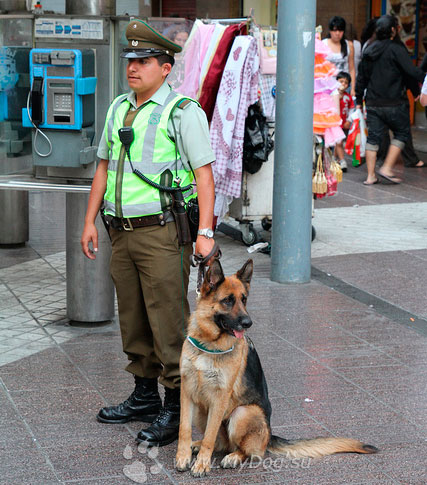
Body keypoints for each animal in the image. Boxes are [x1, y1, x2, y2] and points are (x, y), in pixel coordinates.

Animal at [176, 260, 380, 474]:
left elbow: (209, 435)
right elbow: (184, 429)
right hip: (201, 409)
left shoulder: (220, 396)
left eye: (244, 300)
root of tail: (270, 435)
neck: (208, 345)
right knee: (220, 442)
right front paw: (183, 457)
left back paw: (234, 456)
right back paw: (199, 446)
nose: (248, 323)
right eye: (228, 301)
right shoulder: (187, 391)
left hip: (243, 413)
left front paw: (202, 464)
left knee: (249, 451)